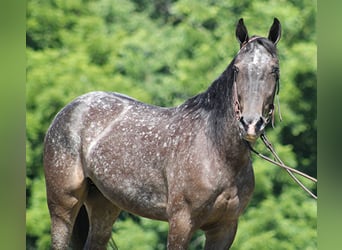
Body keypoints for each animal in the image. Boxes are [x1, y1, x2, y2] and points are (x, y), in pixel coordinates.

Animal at [44, 18, 282, 250]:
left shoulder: (224, 228)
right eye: (237, 70)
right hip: (63, 204)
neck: (217, 151)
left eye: (275, 70)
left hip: (104, 203)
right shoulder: (181, 222)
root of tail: (71, 108)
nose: (250, 124)